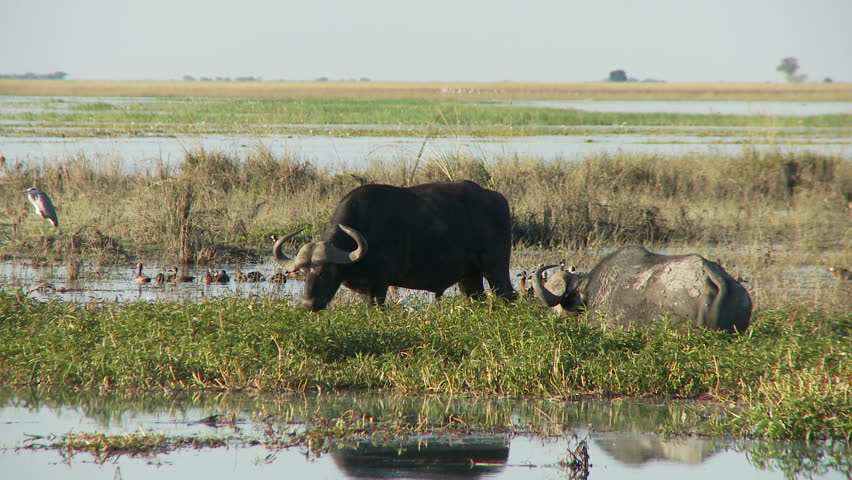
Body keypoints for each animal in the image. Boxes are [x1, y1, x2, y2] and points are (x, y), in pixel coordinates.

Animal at [273, 180, 515, 311]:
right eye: (303, 272)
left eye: (327, 271)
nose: (309, 303)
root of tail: (499, 200)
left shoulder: (379, 286)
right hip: (469, 276)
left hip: (496, 268)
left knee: (508, 295)